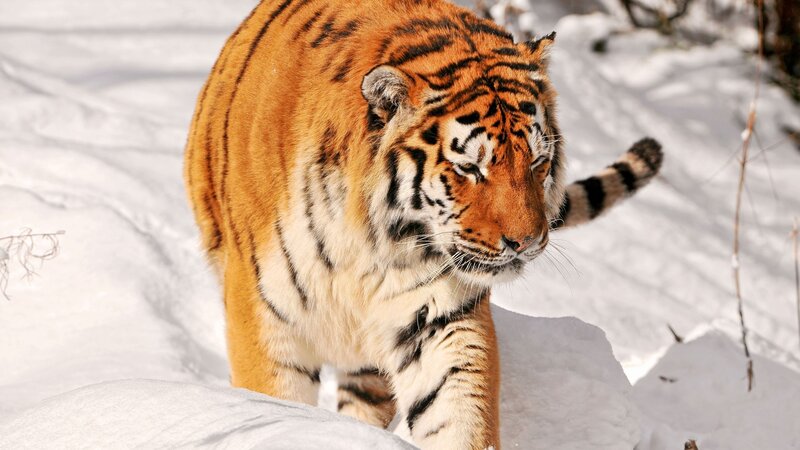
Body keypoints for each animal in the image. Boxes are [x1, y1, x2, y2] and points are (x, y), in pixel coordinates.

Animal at [184, 0, 663, 448]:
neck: (364, 241)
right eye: (470, 168)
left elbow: (458, 412)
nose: (527, 242)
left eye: (538, 162)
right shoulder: (265, 319)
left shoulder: (438, 317)